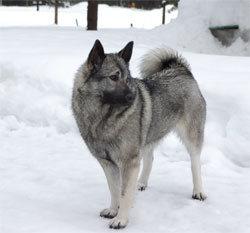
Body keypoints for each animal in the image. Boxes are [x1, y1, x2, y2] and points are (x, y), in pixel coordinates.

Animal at [71, 40, 206, 229]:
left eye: (128, 79)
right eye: (113, 77)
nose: (132, 96)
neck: (103, 117)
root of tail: (181, 69)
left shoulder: (129, 162)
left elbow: (125, 193)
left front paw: (121, 219)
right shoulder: (108, 163)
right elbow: (114, 189)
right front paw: (113, 210)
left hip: (191, 136)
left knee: (195, 163)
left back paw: (198, 191)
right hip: (147, 137)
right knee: (149, 159)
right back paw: (141, 183)